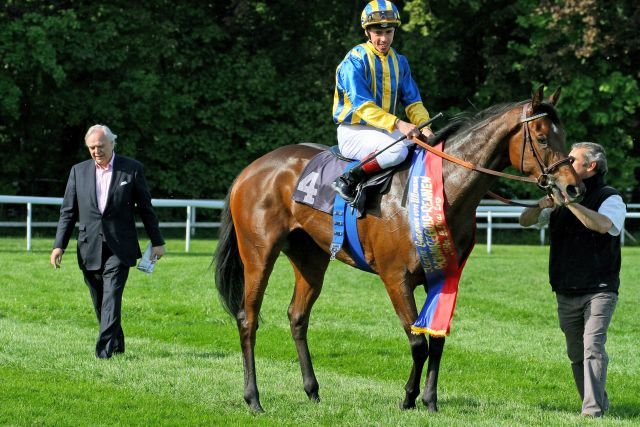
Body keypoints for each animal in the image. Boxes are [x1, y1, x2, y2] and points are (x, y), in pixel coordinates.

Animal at [214, 85, 584, 412]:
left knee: (297, 317)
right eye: (541, 138)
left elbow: (437, 340)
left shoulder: (445, 277)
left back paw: (312, 391)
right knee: (248, 319)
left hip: (311, 258)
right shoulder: (396, 278)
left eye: (563, 135)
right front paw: (408, 397)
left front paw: (430, 401)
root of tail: (252, 169)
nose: (573, 187)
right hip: (259, 255)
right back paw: (253, 399)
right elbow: (418, 342)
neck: (442, 189)